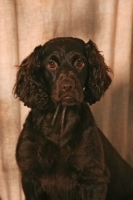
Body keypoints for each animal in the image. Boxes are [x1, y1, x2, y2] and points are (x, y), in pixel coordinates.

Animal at [13, 37, 133, 198]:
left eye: (79, 63)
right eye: (51, 64)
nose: (68, 86)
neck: (59, 124)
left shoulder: (93, 179)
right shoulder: (30, 177)